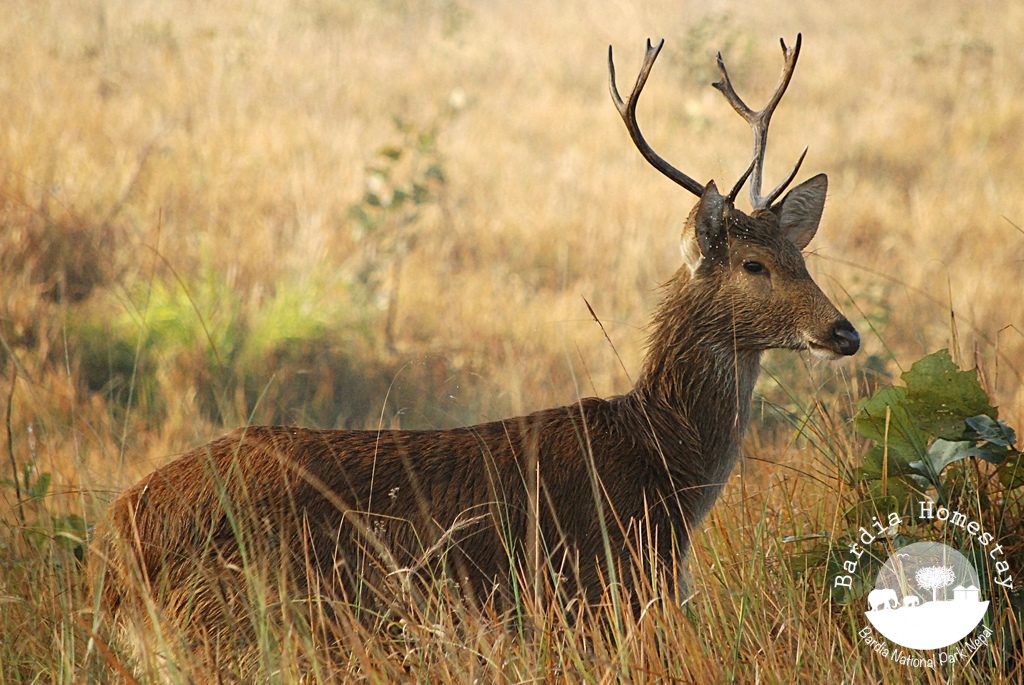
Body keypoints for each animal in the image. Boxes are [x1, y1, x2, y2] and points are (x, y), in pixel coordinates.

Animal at [90, 34, 859, 654]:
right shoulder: (595, 593)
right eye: (753, 265)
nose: (843, 332)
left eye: (801, 254)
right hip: (231, 620)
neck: (661, 465)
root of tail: (113, 542)